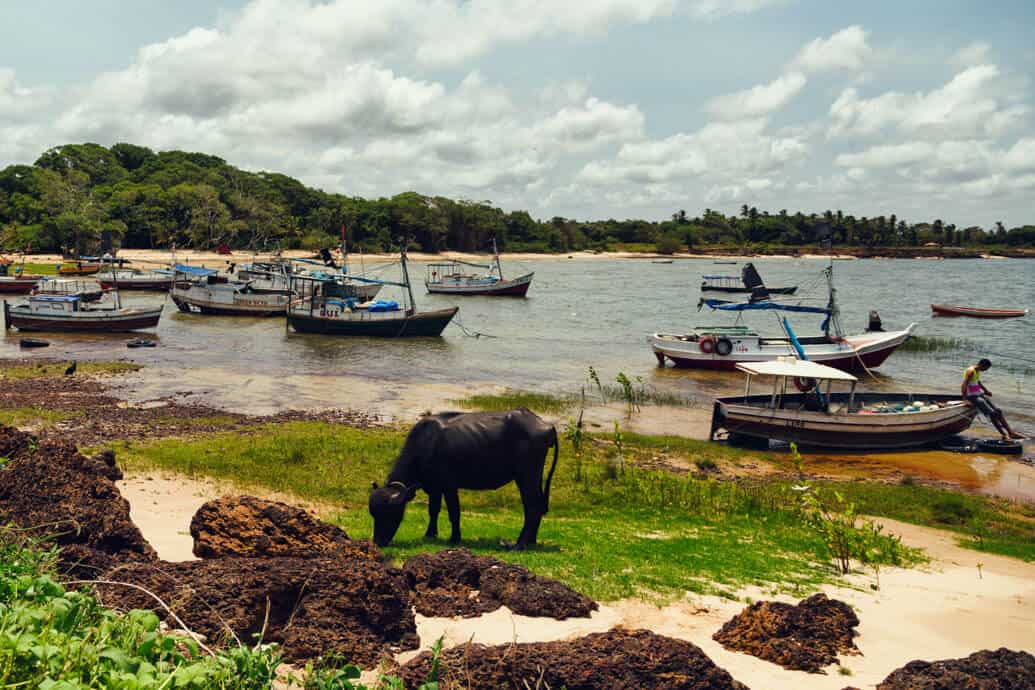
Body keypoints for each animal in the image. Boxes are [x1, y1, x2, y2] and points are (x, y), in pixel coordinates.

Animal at [366, 409, 554, 550]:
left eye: (390, 513)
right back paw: (531, 541)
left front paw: (454, 538)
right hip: (535, 477)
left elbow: (454, 512)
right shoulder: (434, 488)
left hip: (526, 476)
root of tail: (545, 425)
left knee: (532, 507)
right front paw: (430, 534)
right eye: (373, 514)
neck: (427, 443)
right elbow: (433, 510)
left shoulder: (449, 486)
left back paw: (520, 544)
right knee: (538, 506)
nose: (378, 542)